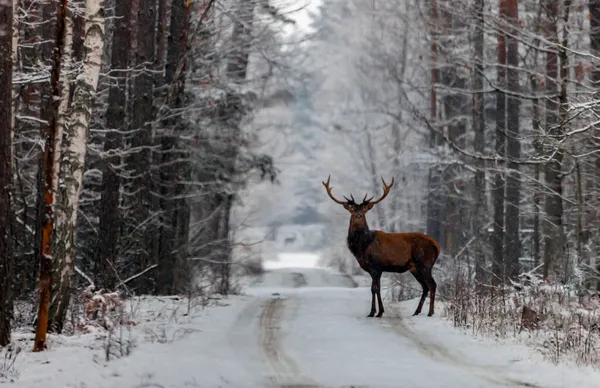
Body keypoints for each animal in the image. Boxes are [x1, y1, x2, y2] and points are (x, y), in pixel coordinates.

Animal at [324, 176, 440, 318]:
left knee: (432, 284)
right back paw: (417, 311)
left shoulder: (376, 267)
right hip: (414, 267)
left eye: (364, 210)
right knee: (425, 286)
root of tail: (437, 246)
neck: (362, 247)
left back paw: (430, 312)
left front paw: (375, 312)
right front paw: (377, 311)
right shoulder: (375, 269)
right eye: (352, 210)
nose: (358, 215)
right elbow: (375, 289)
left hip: (425, 263)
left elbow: (374, 289)